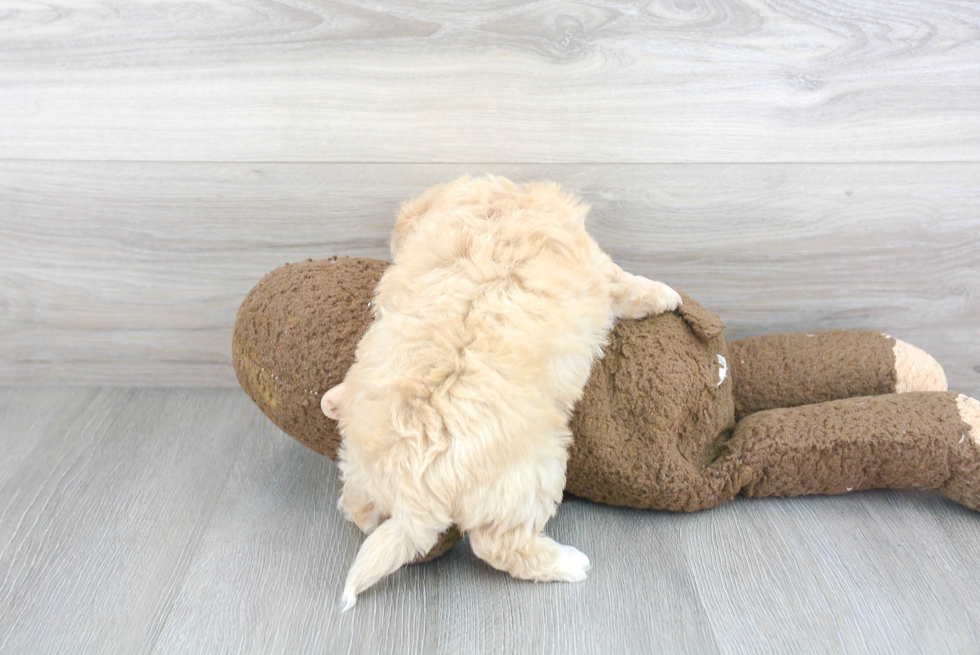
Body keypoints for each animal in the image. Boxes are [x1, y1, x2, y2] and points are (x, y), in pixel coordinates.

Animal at [322, 176, 680, 608]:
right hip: (531, 474)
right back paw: (568, 564)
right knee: (499, 546)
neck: (496, 210)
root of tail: (410, 489)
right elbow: (628, 284)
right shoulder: (599, 267)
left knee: (359, 507)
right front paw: (666, 294)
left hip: (359, 464)